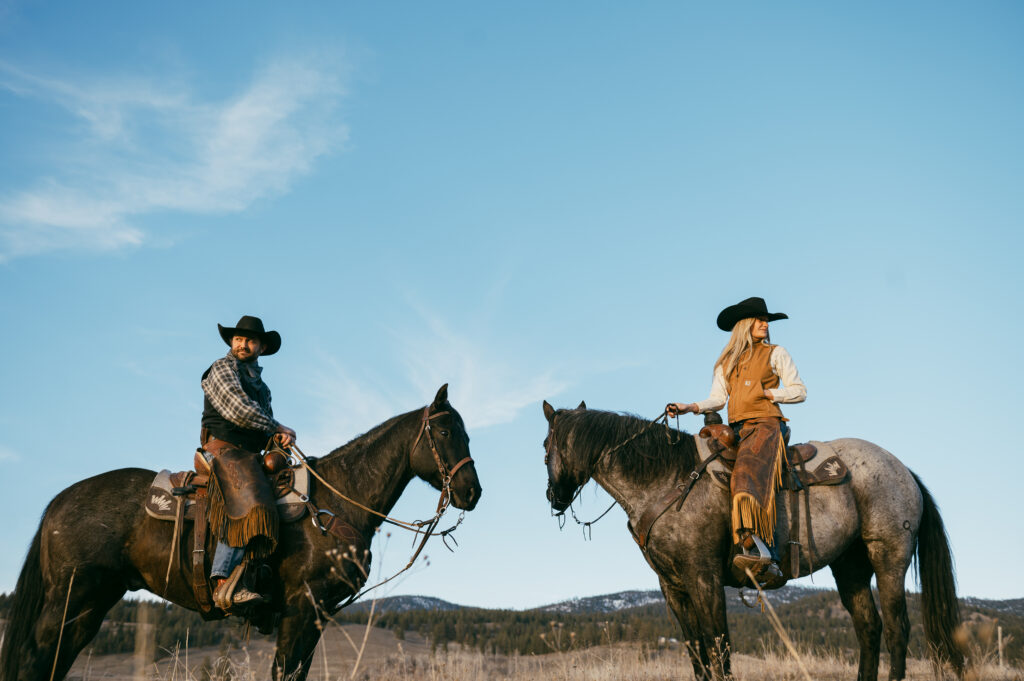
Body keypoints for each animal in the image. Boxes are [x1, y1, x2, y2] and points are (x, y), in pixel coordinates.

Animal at [1, 382, 479, 679]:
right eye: (443, 429)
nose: (472, 491)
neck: (335, 500)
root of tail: (60, 501)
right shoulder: (302, 610)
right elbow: (284, 672)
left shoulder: (317, 617)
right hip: (74, 599)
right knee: (37, 658)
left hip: (91, 602)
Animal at [540, 403, 962, 679]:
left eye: (545, 448)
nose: (553, 498)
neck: (666, 480)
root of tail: (903, 469)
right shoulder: (673, 587)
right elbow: (697, 653)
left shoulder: (705, 578)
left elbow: (719, 647)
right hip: (850, 567)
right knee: (869, 629)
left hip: (888, 556)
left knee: (896, 629)